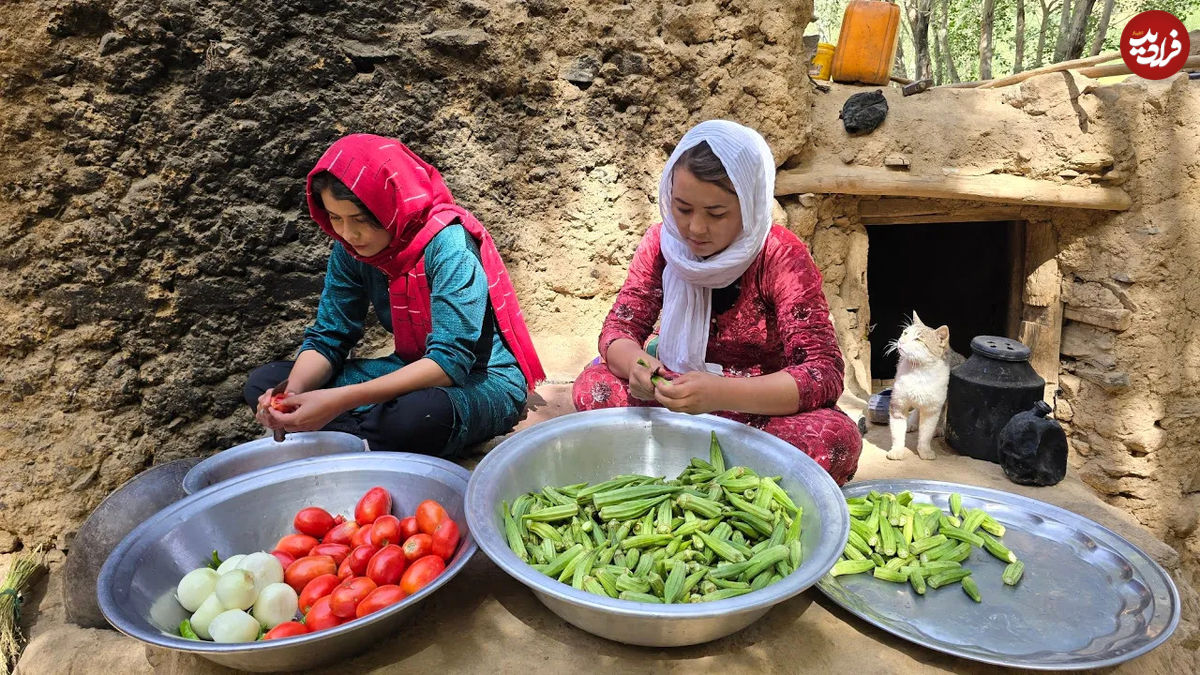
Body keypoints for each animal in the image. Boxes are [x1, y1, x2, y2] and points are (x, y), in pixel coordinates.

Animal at [892, 312, 964, 458]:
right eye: (905, 333)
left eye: (918, 339)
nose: (901, 341)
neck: (918, 372)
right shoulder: (898, 403)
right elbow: (897, 431)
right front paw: (896, 451)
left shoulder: (932, 408)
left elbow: (926, 433)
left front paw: (925, 452)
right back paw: (911, 423)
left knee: (942, 412)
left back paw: (939, 428)